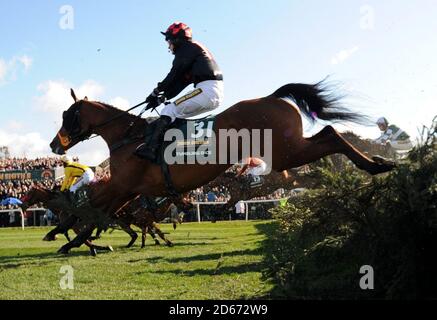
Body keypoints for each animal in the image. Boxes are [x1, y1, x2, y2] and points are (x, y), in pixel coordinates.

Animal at [49, 80, 394, 252]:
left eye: (67, 115)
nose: (54, 145)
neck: (129, 137)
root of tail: (272, 97)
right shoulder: (129, 189)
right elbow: (98, 211)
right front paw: (70, 236)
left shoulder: (122, 185)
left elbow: (91, 207)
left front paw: (64, 234)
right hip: (290, 151)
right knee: (326, 136)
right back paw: (369, 165)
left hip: (287, 152)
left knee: (331, 134)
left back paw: (373, 165)